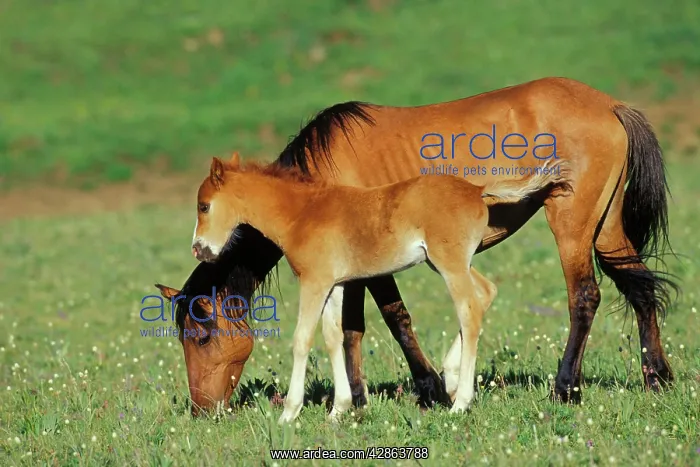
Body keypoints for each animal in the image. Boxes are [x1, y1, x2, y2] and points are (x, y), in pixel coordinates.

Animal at [190, 152, 569, 422]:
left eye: (204, 206)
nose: (199, 249)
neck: (302, 213)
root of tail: (476, 191)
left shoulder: (313, 282)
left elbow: (301, 341)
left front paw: (289, 413)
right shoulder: (335, 284)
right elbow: (333, 337)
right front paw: (339, 409)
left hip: (449, 264)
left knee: (469, 311)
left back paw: (460, 402)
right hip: (449, 263)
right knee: (487, 292)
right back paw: (449, 377)